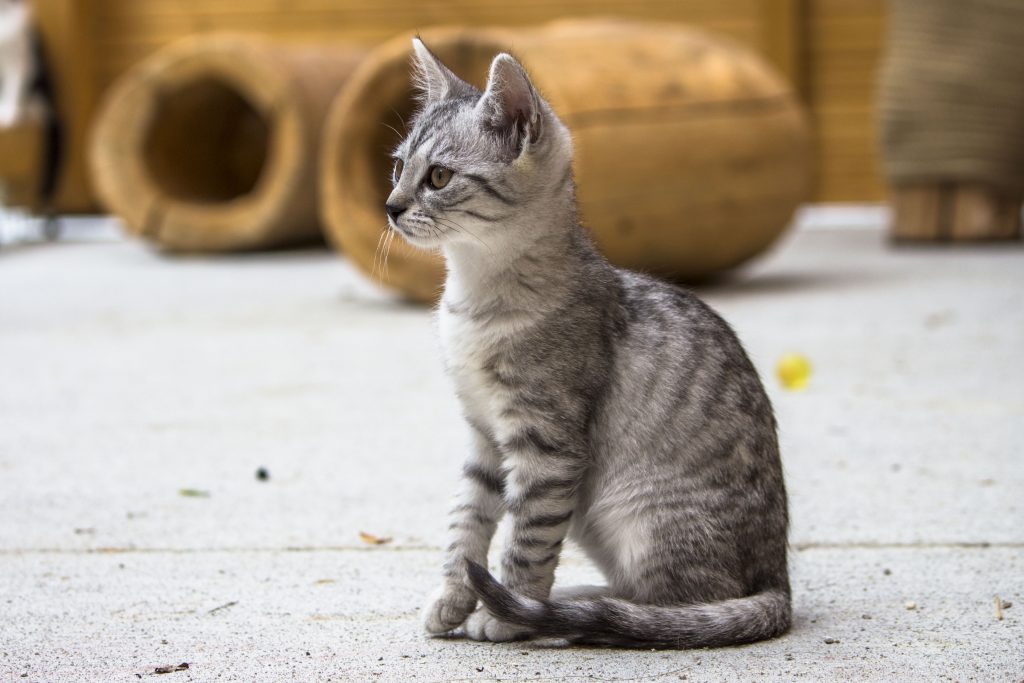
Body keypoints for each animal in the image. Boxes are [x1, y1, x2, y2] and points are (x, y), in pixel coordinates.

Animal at [385, 38, 791, 648]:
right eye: (397, 166)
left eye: (437, 176)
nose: (389, 206)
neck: (474, 298)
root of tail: (779, 579)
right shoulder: (483, 438)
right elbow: (466, 523)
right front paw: (454, 598)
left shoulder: (547, 446)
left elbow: (527, 539)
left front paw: (507, 612)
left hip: (638, 514)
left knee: (677, 606)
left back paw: (563, 613)